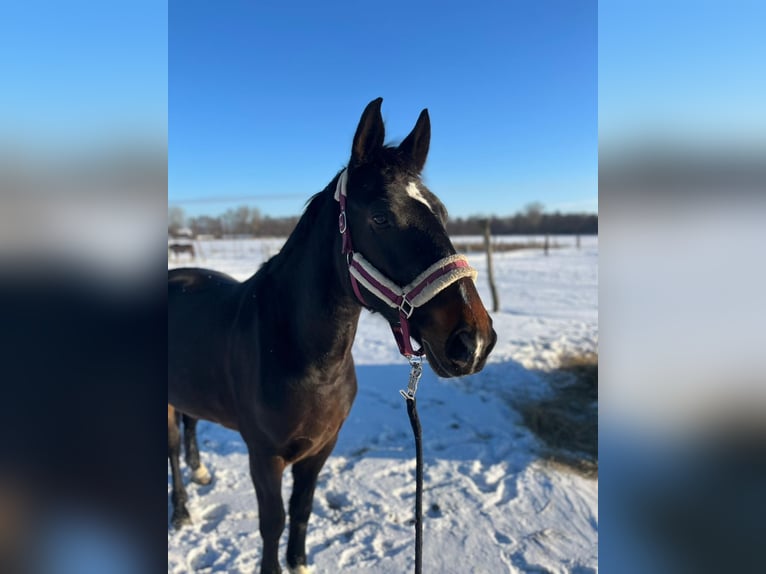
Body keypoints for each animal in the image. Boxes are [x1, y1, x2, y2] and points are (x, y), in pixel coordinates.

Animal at [168, 98, 497, 574]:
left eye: (441, 212)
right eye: (380, 216)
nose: (473, 341)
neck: (305, 360)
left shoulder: (321, 449)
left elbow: (302, 510)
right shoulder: (264, 456)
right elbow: (274, 522)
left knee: (191, 425)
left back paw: (200, 471)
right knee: (172, 449)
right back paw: (181, 511)